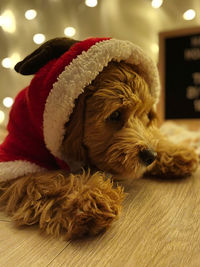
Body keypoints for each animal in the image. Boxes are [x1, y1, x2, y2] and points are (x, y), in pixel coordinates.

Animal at [0, 36, 198, 240]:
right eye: (115, 115)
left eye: (145, 115)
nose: (151, 156)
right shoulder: (19, 155)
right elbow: (47, 181)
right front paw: (90, 198)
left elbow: (154, 133)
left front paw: (174, 152)